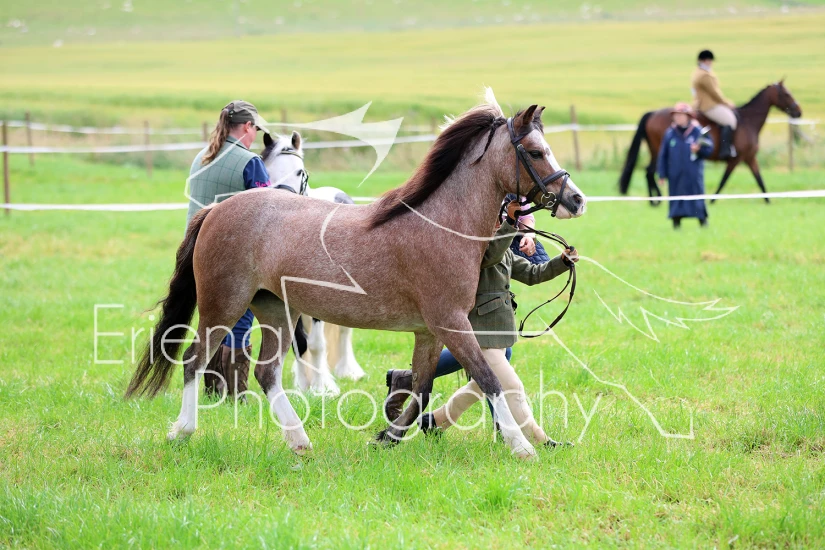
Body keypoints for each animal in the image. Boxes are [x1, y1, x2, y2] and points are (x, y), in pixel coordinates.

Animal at [260, 131, 366, 397]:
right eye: (267, 171)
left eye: (300, 171)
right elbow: (299, 344)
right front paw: (302, 386)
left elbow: (317, 344)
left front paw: (321, 388)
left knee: (344, 331)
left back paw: (348, 370)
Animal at [618, 81, 802, 202]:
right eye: (787, 94)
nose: (798, 112)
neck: (748, 121)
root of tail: (653, 113)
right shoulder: (736, 159)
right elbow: (724, 180)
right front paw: (712, 200)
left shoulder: (750, 158)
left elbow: (760, 180)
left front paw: (768, 201)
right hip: (659, 151)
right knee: (650, 171)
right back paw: (657, 200)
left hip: (655, 151)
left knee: (648, 172)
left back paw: (655, 200)